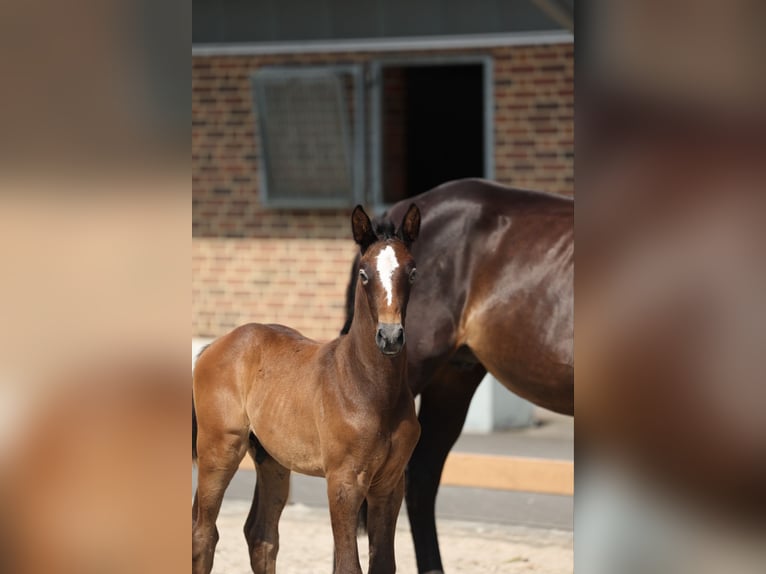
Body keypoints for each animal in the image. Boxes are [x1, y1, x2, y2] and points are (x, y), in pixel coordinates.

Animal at [192, 204, 422, 574]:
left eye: (412, 272)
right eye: (363, 274)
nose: (390, 337)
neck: (368, 387)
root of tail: (214, 345)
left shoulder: (390, 483)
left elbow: (384, 564)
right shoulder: (343, 481)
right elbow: (348, 566)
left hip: (271, 459)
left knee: (261, 535)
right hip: (220, 448)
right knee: (204, 533)